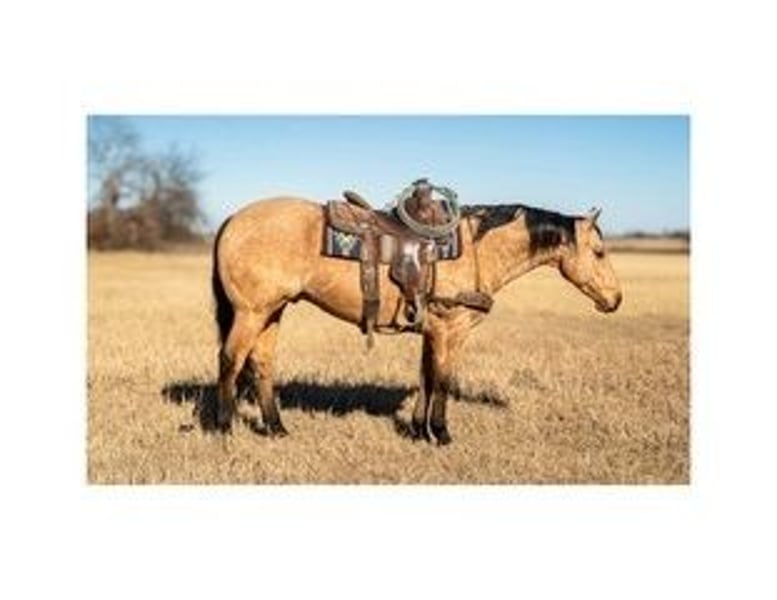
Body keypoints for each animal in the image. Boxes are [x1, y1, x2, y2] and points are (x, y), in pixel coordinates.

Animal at [211, 196, 623, 444]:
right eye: (599, 252)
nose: (615, 300)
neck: (474, 250)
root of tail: (234, 218)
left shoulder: (432, 331)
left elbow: (426, 377)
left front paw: (418, 429)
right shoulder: (450, 329)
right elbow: (442, 380)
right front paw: (441, 433)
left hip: (272, 311)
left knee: (261, 364)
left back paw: (276, 427)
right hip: (251, 313)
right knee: (230, 360)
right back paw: (223, 426)